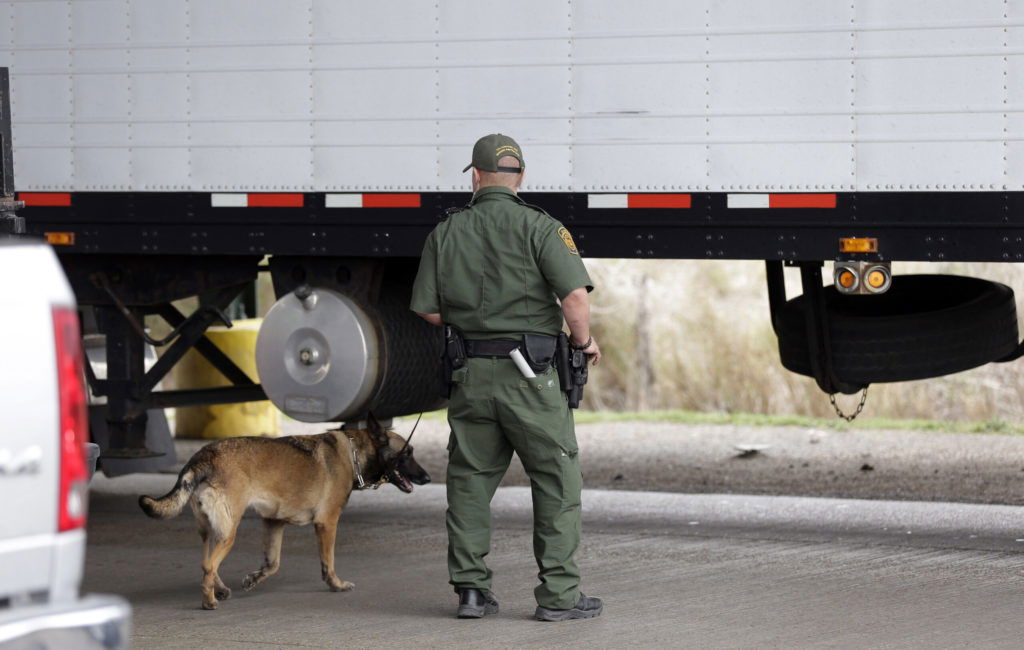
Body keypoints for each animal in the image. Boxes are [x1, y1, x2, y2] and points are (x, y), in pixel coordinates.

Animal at [138, 417, 430, 610]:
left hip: (211, 531)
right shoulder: (327, 524)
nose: (427, 478)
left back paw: (218, 589)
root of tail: (204, 456)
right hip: (228, 532)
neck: (353, 453)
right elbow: (328, 561)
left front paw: (254, 578)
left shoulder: (274, 522)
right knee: (209, 564)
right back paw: (208, 600)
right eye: (407, 453)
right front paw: (335, 584)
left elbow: (273, 563)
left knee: (205, 562)